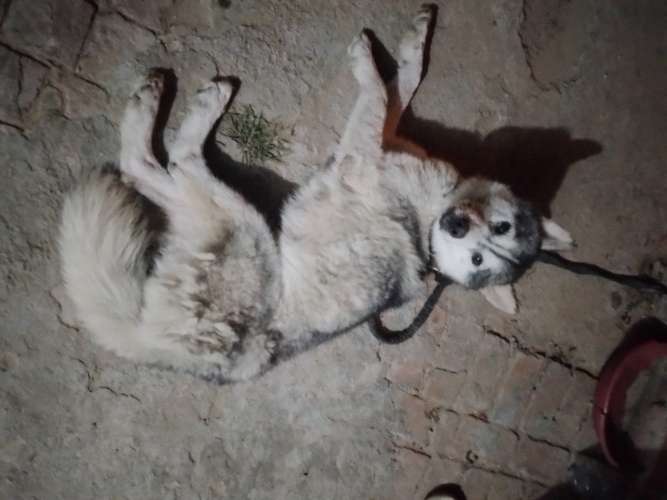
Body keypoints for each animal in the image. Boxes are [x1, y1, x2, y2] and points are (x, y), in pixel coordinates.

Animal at [59, 6, 573, 383]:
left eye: (480, 260)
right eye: (500, 229)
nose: (457, 224)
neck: (432, 215)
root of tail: (164, 348)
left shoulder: (363, 150)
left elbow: (377, 91)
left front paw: (365, 60)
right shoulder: (383, 138)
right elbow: (401, 84)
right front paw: (412, 40)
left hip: (238, 222)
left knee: (166, 162)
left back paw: (189, 105)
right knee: (148, 169)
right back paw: (162, 98)